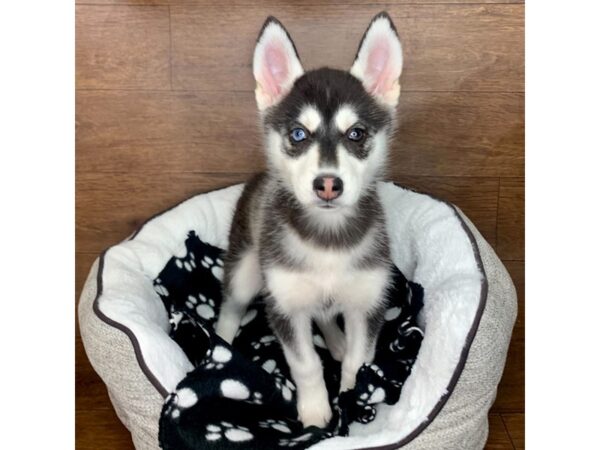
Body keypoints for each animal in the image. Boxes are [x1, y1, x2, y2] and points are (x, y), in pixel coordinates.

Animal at [216, 12, 404, 428]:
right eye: (299, 134)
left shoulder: (368, 303)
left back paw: (335, 340)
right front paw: (317, 413)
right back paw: (218, 349)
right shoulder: (284, 305)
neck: (327, 238)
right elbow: (305, 365)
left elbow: (359, 361)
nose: (328, 184)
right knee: (229, 308)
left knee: (325, 316)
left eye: (357, 133)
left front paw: (352, 399)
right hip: (246, 271)